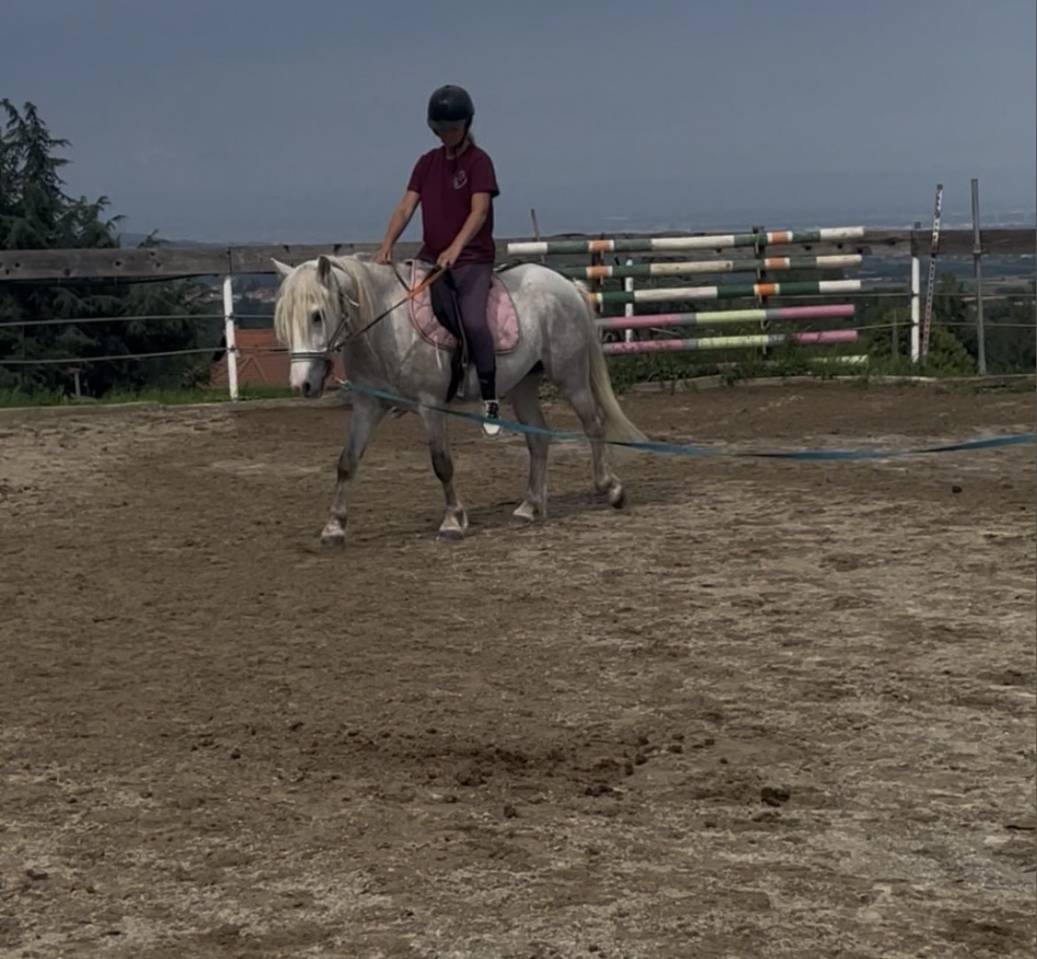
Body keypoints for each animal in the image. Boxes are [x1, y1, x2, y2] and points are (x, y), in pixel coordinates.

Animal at [270, 253, 646, 546]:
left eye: (317, 314)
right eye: (285, 320)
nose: (302, 384)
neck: (386, 326)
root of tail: (566, 284)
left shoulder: (430, 405)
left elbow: (442, 463)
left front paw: (452, 521)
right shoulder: (367, 405)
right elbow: (347, 462)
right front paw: (334, 527)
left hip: (571, 376)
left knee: (593, 425)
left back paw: (610, 489)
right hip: (523, 384)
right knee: (538, 438)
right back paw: (529, 506)